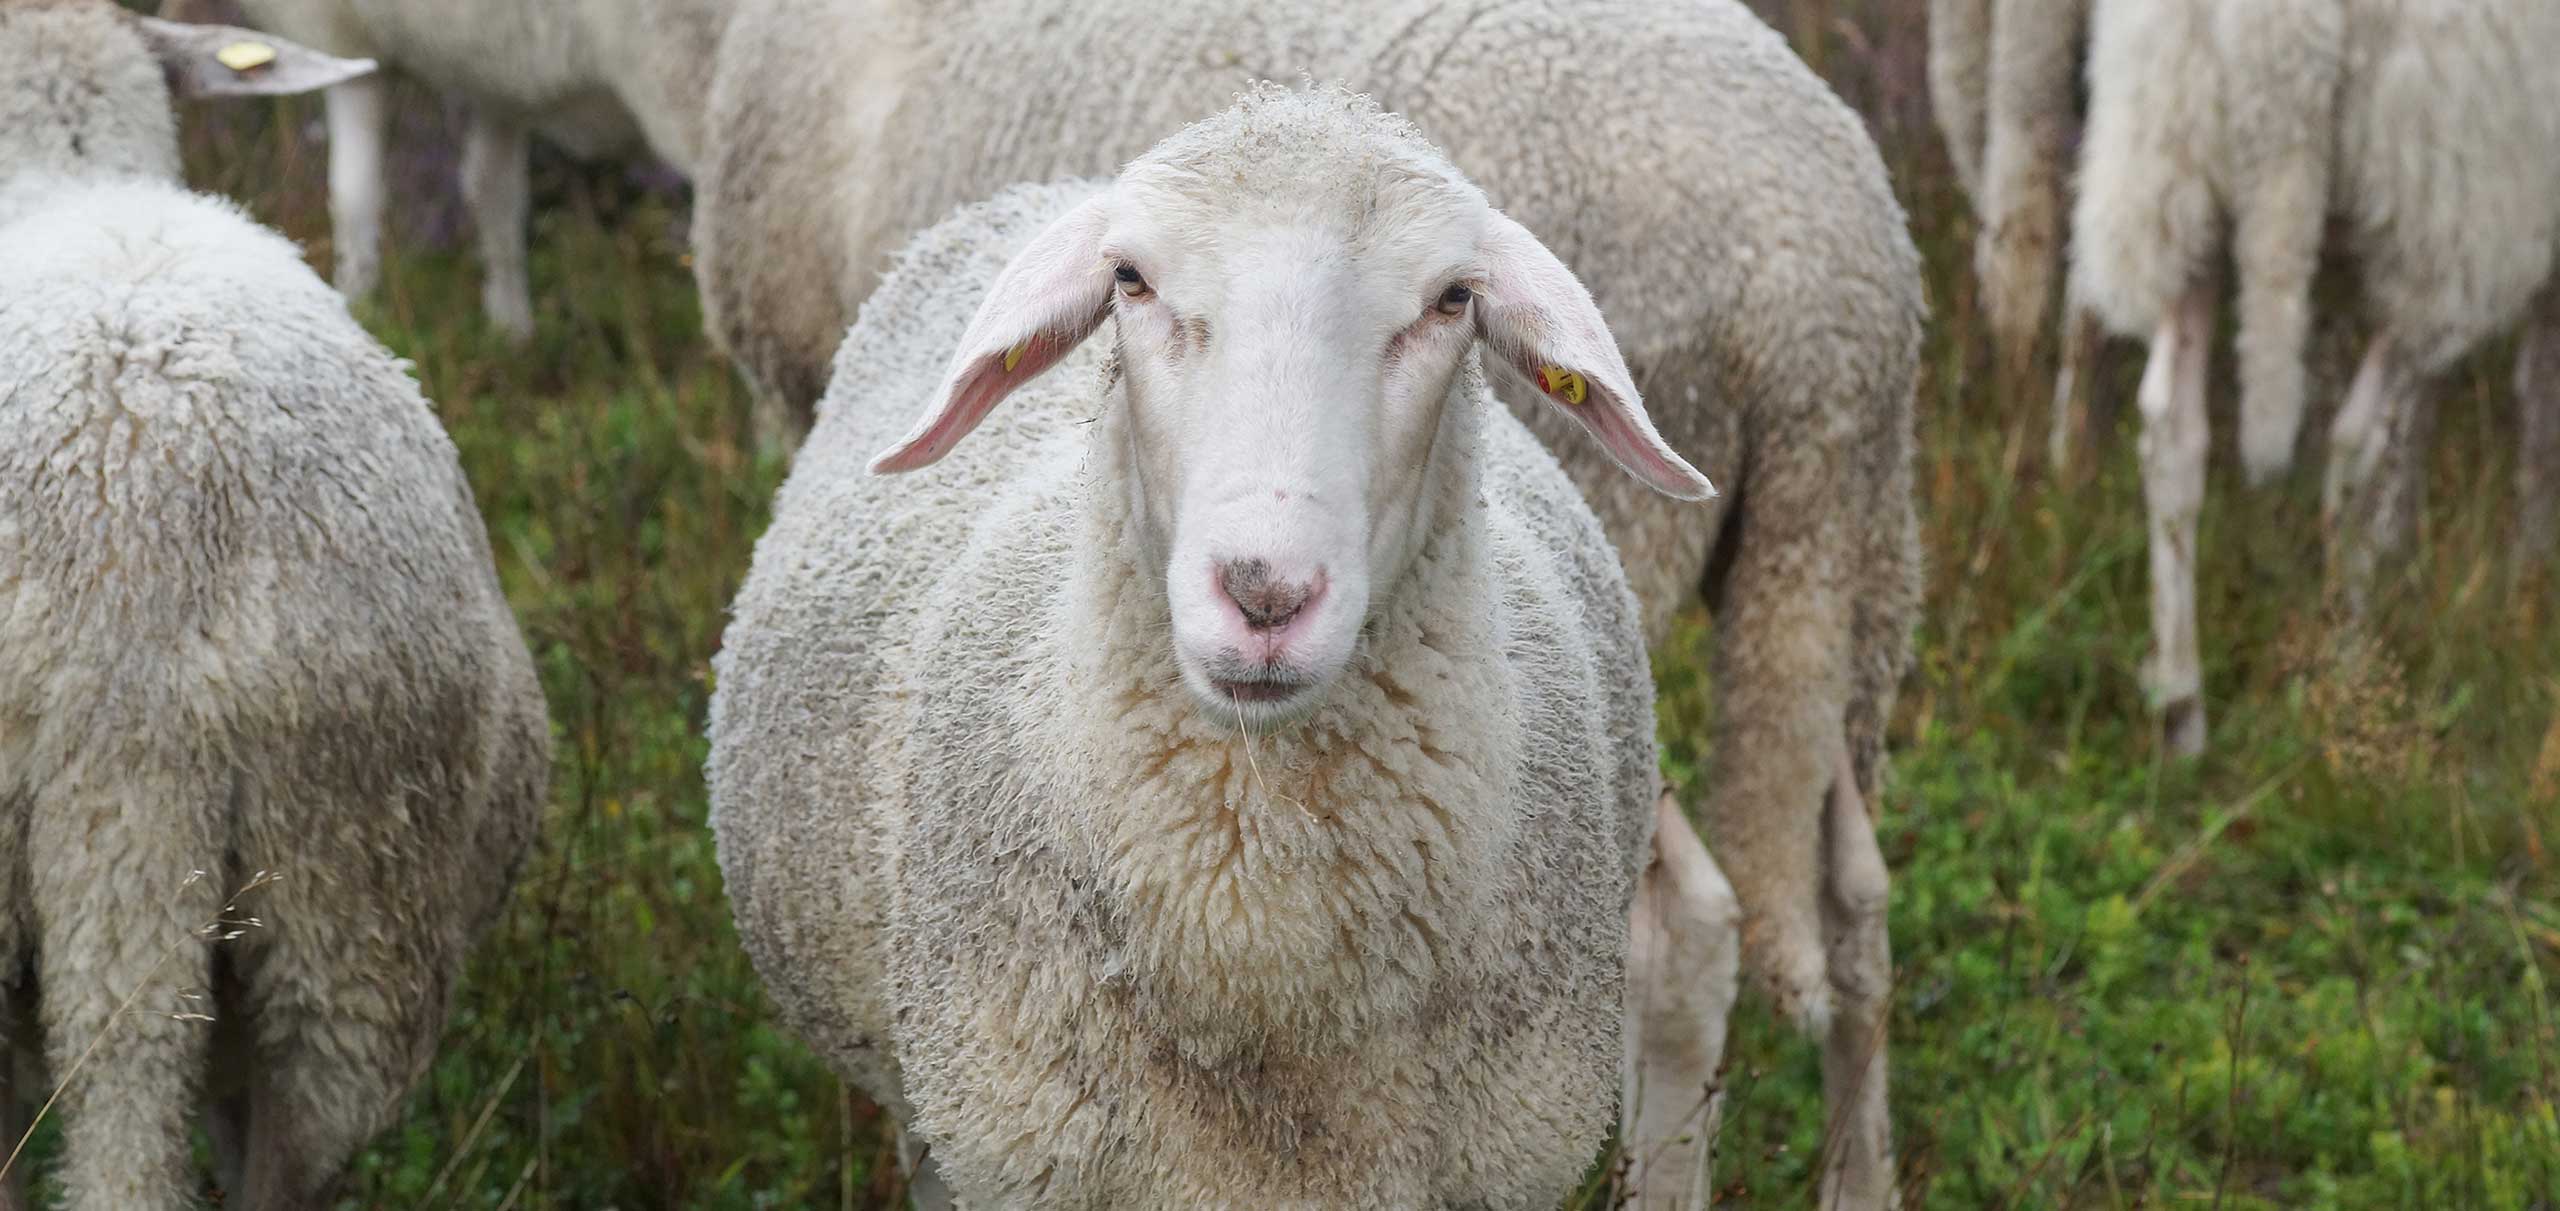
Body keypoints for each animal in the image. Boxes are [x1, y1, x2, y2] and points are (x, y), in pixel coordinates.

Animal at [212, 0, 733, 337]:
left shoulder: (345, 37)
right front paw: (511, 331)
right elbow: (493, 194)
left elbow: (353, 197)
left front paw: (358, 312)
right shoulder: (498, 69)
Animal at [693, 5, 1924, 1200]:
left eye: (1453, 299)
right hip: (1841, 577)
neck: (1263, 942)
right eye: (1130, 280)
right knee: (1855, 889)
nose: (1265, 590)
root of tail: (1818, 300)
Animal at [2071, 0, 2560, 755]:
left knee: (2171, 431)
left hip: (2169, 161)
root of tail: (2280, 32)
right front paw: (2532, 577)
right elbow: (2541, 403)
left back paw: (2181, 706)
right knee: (2356, 444)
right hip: (2436, 199)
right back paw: (2351, 671)